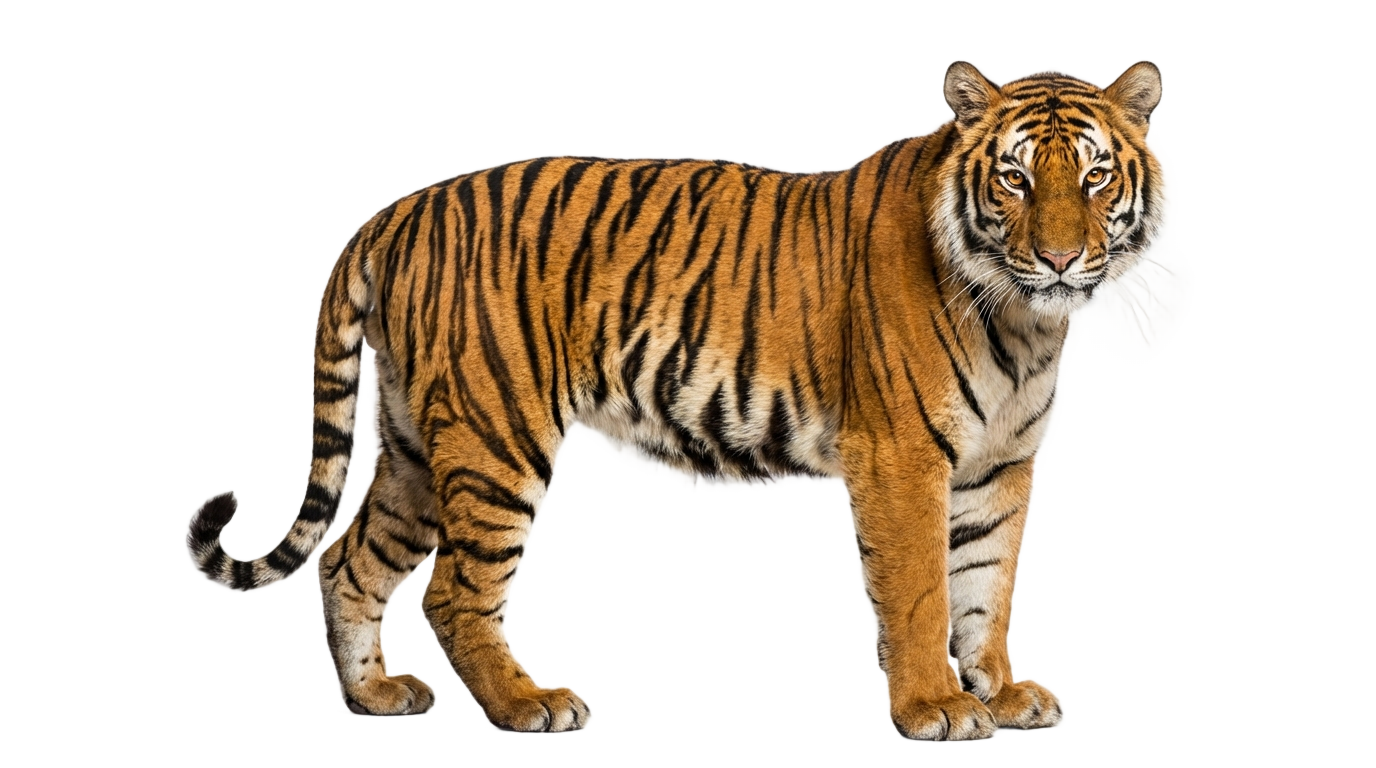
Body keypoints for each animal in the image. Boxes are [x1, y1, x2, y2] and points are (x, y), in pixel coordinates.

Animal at [186, 60, 1162, 740]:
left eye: (1095, 178)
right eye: (1015, 179)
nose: (1063, 260)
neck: (1025, 321)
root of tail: (396, 210)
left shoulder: (1000, 465)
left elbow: (986, 582)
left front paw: (999, 690)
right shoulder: (901, 458)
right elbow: (924, 589)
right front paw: (938, 706)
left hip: (419, 446)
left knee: (351, 559)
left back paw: (375, 693)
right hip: (494, 436)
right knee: (453, 593)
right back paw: (525, 705)